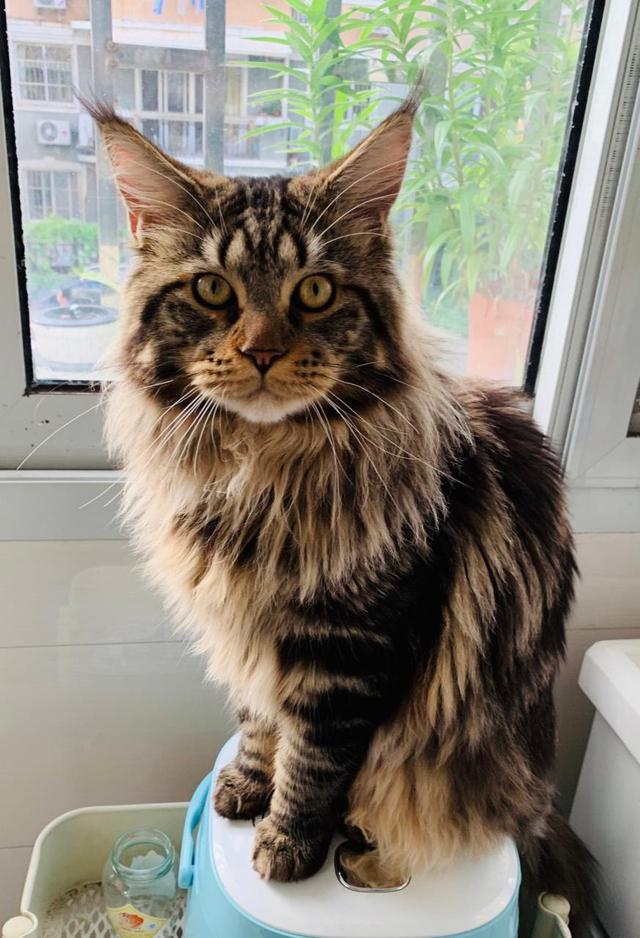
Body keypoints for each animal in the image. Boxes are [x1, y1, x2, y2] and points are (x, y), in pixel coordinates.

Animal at [88, 90, 596, 930]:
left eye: (316, 291)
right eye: (213, 290)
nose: (261, 351)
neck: (259, 471)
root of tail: (539, 792)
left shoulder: (351, 654)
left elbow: (316, 762)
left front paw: (286, 845)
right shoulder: (251, 633)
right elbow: (259, 723)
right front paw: (244, 787)